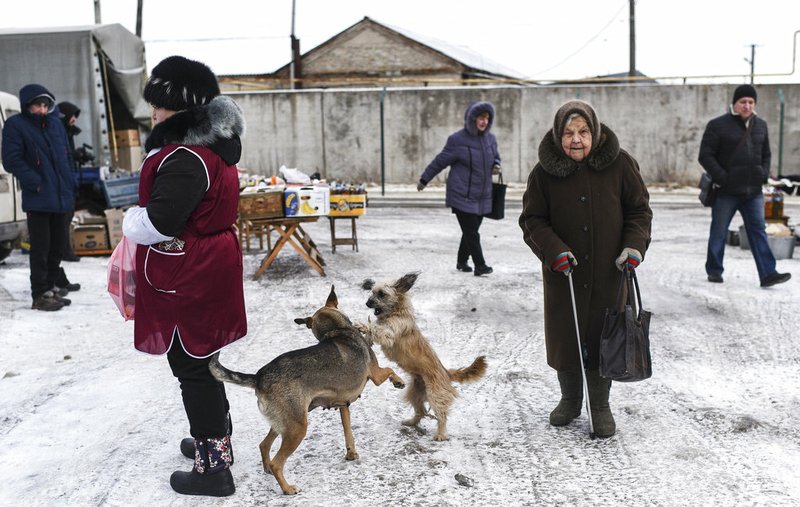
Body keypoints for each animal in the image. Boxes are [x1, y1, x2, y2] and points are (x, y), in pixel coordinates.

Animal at [209, 286, 404, 496]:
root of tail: (259, 377)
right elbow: (389, 369)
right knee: (278, 462)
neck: (337, 330)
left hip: (284, 423)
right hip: (298, 428)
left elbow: (348, 431)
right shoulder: (375, 375)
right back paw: (287, 488)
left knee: (264, 445)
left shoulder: (343, 405)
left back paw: (267, 468)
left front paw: (351, 453)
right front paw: (399, 381)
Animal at [358, 272, 488, 442]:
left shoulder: (391, 333)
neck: (396, 312)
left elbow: (377, 329)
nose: (367, 303)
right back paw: (411, 422)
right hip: (416, 393)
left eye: (382, 294)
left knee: (441, 416)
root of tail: (446, 373)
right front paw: (364, 336)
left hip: (435, 394)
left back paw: (440, 434)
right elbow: (372, 334)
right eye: (372, 292)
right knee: (421, 412)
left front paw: (363, 326)